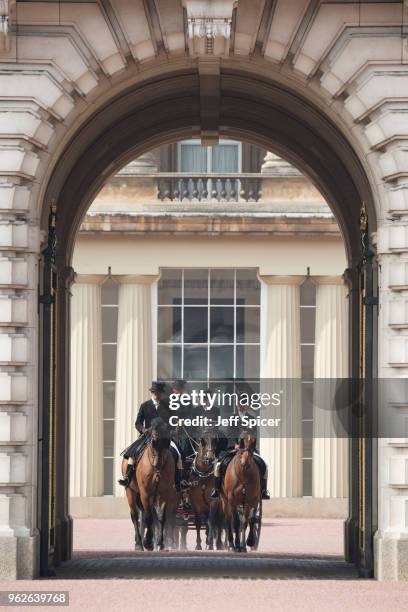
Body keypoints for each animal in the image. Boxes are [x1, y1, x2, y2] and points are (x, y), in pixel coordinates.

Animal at [122, 418, 177, 552]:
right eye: (154, 442)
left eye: (168, 442)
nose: (158, 465)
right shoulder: (145, 493)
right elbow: (148, 517)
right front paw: (148, 542)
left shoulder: (164, 494)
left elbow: (161, 517)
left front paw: (160, 543)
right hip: (130, 491)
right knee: (135, 516)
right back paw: (139, 543)